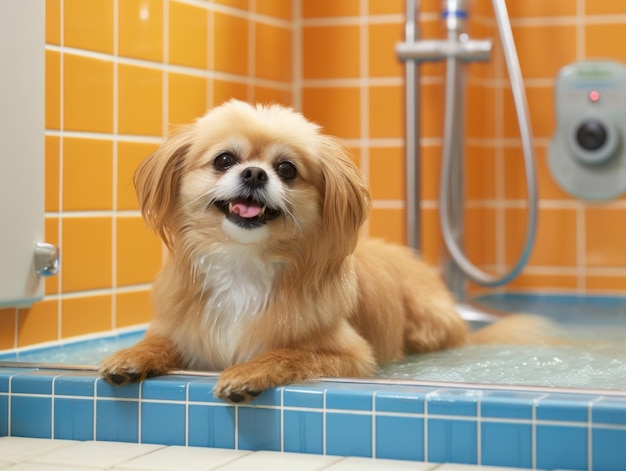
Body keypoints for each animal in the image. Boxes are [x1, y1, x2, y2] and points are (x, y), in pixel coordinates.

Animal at [98, 99, 536, 402]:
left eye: (286, 169)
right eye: (224, 160)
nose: (254, 173)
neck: (243, 265)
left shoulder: (353, 358)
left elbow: (288, 354)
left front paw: (247, 372)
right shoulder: (186, 331)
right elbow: (159, 342)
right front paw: (130, 356)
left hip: (427, 324)